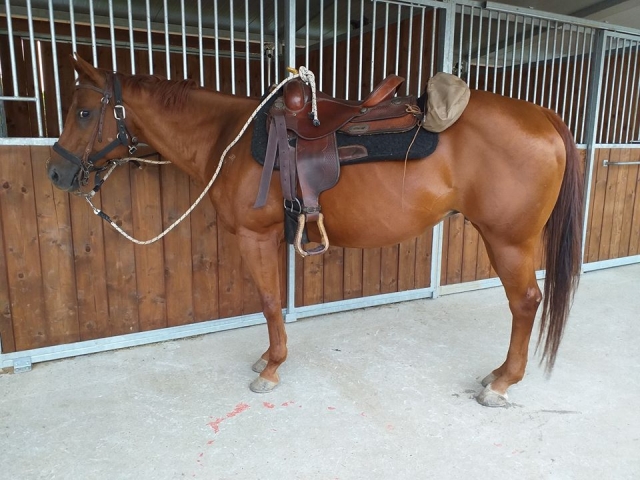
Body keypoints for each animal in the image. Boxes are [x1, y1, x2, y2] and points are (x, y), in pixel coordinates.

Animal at [46, 54, 583, 407]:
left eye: (84, 112)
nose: (56, 172)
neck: (227, 139)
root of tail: (542, 115)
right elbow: (272, 302)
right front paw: (268, 357)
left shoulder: (256, 236)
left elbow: (268, 302)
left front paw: (272, 367)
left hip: (508, 240)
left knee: (525, 303)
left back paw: (502, 382)